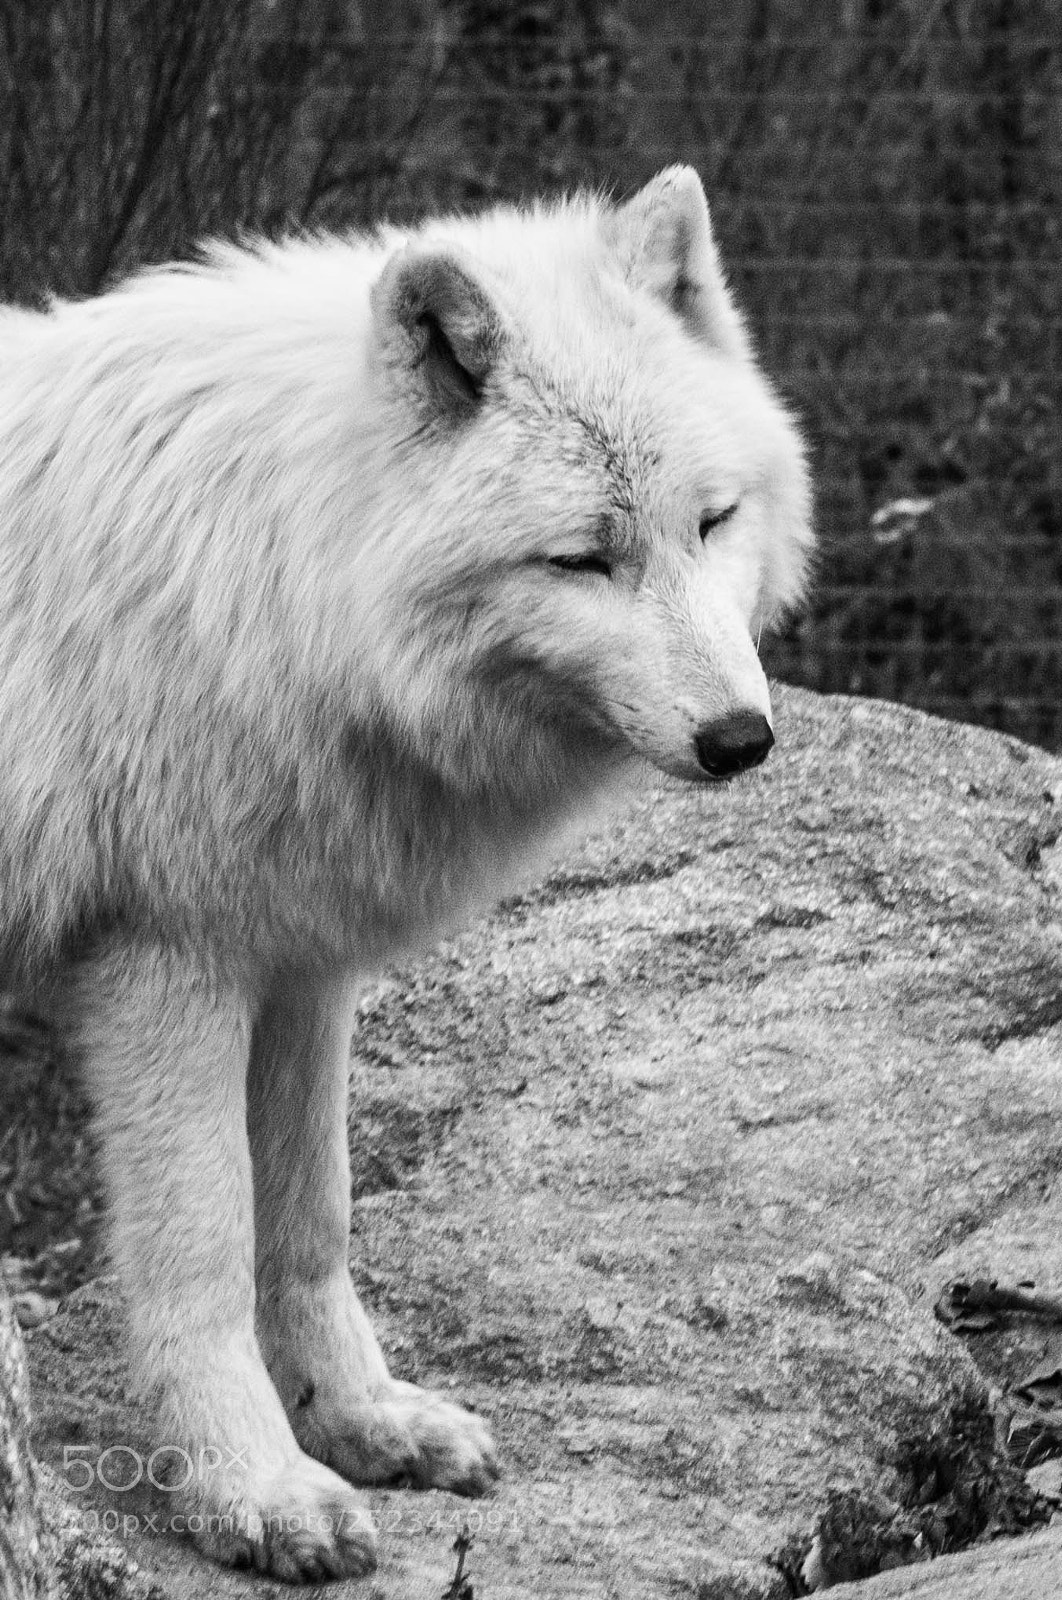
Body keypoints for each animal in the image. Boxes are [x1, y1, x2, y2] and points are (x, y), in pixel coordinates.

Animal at [0, 167, 812, 1580]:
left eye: (712, 521)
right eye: (582, 558)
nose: (740, 740)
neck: (267, 569)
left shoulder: (303, 957)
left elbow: (310, 1221)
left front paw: (361, 1421)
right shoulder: (167, 960)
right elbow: (208, 1243)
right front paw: (255, 1489)